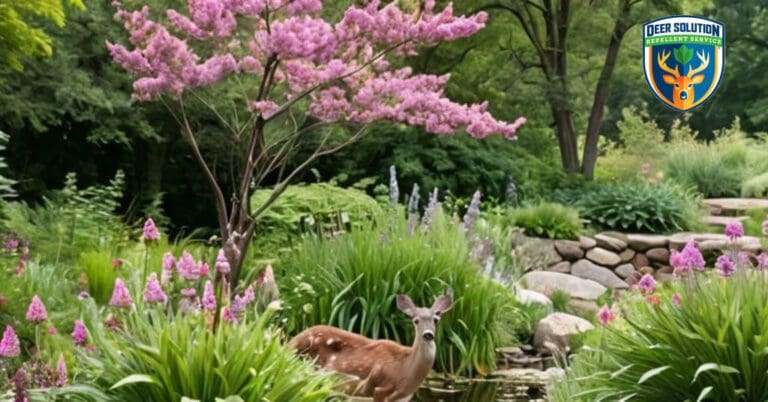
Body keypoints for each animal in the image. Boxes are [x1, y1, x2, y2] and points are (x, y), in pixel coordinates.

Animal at [288, 292, 453, 402]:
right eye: (416, 320)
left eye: (436, 320)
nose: (428, 335)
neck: (404, 372)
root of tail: (291, 342)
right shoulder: (378, 388)